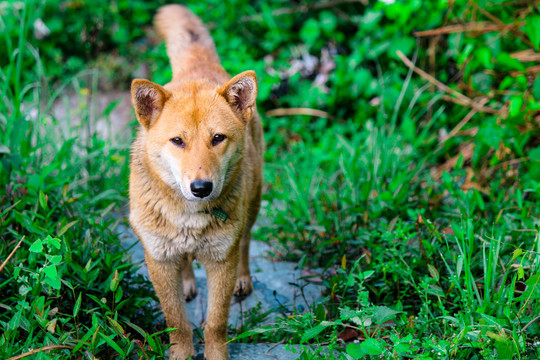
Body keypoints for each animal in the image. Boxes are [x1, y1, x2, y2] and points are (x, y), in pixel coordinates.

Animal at [130, 4, 264, 358]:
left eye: (217, 138)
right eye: (178, 141)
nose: (201, 188)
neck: (189, 217)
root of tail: (198, 69)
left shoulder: (220, 262)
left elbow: (215, 323)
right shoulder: (159, 260)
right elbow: (177, 321)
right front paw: (182, 351)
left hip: (253, 204)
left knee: (245, 242)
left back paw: (244, 278)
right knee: (186, 266)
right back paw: (189, 281)